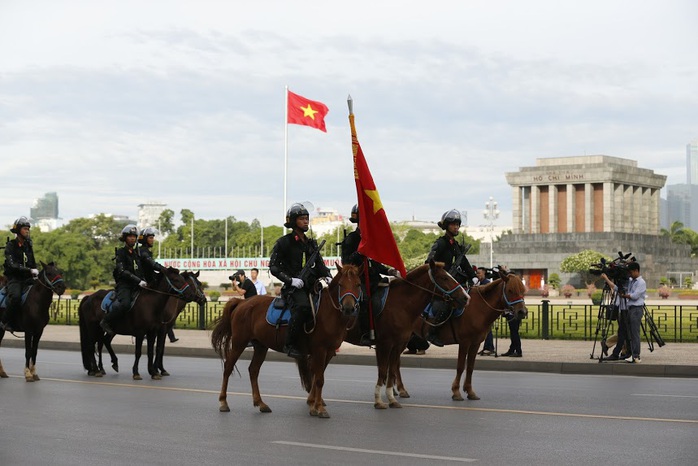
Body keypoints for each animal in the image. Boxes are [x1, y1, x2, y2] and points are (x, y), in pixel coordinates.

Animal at [209, 262, 362, 418]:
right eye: (341, 284)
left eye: (358, 284)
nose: (349, 308)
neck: (329, 313)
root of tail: (241, 302)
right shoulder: (319, 350)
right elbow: (319, 379)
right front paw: (319, 407)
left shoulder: (329, 351)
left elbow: (317, 377)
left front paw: (313, 404)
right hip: (239, 342)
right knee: (228, 367)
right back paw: (223, 402)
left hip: (261, 346)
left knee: (253, 370)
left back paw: (260, 403)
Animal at [342, 260, 468, 410]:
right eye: (444, 278)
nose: (466, 297)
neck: (401, 305)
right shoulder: (384, 344)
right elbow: (383, 370)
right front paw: (379, 400)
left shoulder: (398, 344)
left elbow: (391, 371)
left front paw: (391, 398)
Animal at [400, 270, 524, 400]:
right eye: (510, 290)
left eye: (523, 290)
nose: (523, 312)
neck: (479, 308)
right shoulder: (464, 342)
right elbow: (460, 367)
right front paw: (456, 391)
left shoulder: (475, 343)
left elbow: (470, 367)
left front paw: (470, 391)